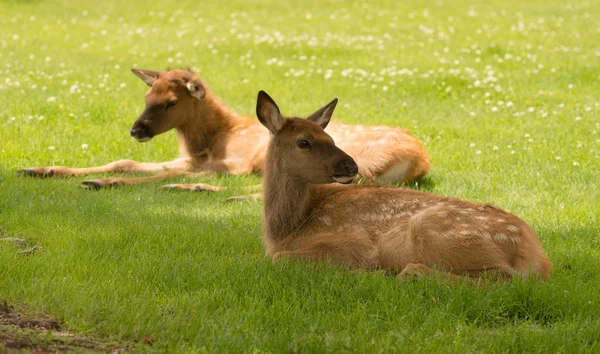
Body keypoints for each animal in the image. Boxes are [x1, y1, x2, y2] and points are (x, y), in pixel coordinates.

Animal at [19, 67, 432, 192]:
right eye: (147, 94)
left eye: (171, 101)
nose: (137, 130)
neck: (212, 140)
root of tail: (422, 161)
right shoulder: (189, 158)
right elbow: (127, 162)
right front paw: (40, 168)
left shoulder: (233, 163)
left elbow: (151, 174)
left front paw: (102, 183)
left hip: (354, 164)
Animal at [258, 91, 552, 282]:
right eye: (303, 142)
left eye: (330, 138)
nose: (351, 165)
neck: (289, 227)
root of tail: (538, 257)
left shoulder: (354, 241)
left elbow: (278, 257)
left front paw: (364, 271)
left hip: (438, 230)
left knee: (504, 277)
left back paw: (408, 273)